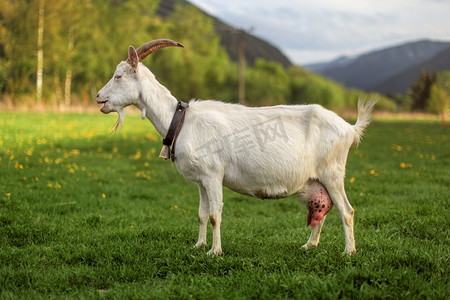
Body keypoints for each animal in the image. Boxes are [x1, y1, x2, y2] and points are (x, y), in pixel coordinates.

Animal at [97, 39, 376, 255]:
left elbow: (214, 214)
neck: (181, 120)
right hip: (316, 180)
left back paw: (349, 252)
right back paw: (310, 245)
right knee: (323, 209)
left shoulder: (212, 174)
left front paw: (215, 252)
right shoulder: (201, 180)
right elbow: (201, 214)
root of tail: (349, 128)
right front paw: (199, 246)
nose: (99, 97)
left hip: (332, 172)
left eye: (118, 76)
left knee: (347, 210)